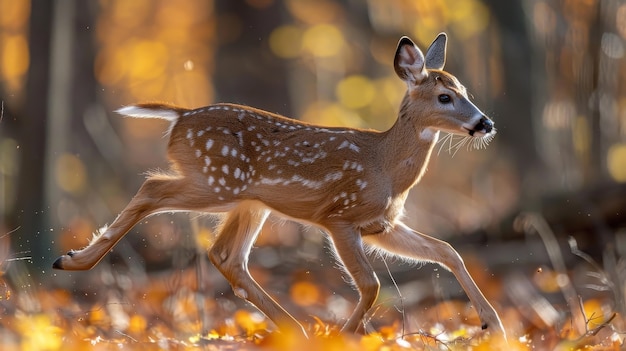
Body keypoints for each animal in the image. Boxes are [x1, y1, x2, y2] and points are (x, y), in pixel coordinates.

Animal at [51, 34, 504, 340]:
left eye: (464, 90)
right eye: (444, 97)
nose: (485, 123)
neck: (385, 167)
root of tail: (178, 117)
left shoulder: (381, 225)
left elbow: (446, 250)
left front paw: (492, 324)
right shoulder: (339, 216)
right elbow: (372, 283)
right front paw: (345, 334)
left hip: (251, 202)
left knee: (226, 255)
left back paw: (293, 330)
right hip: (218, 182)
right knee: (153, 188)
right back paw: (72, 261)